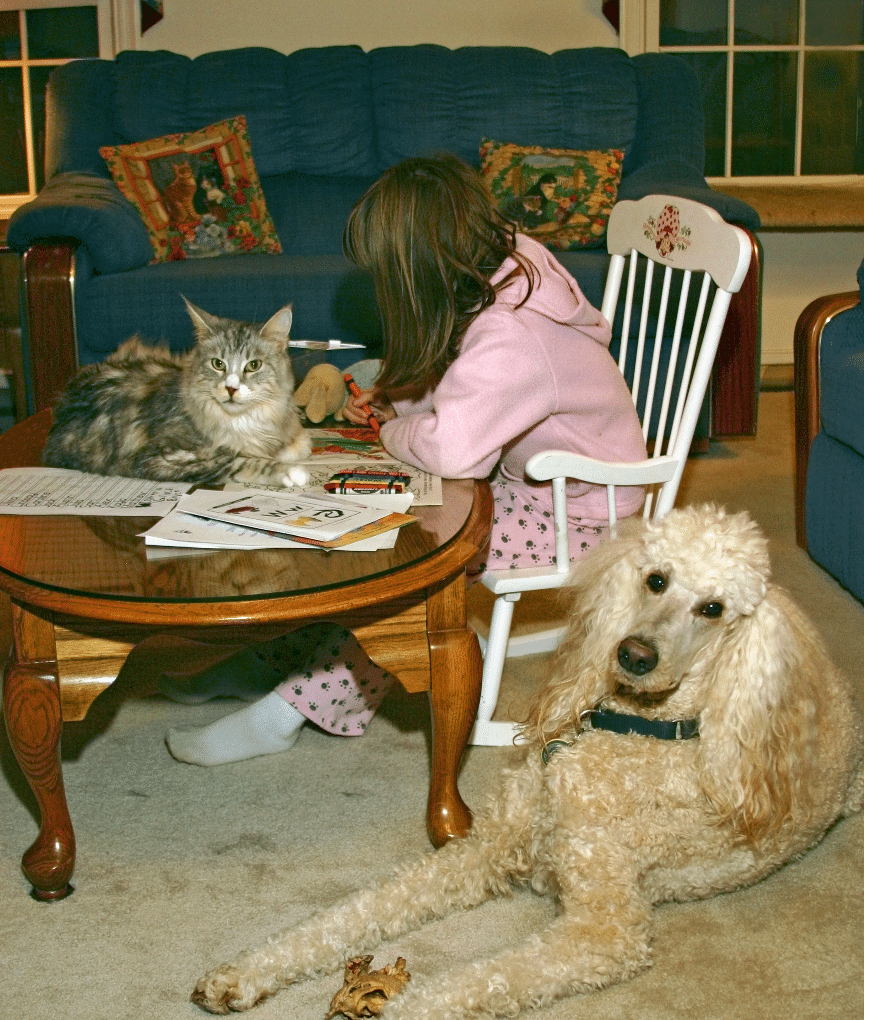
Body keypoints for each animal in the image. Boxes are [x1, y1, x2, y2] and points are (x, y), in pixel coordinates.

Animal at [42, 295, 312, 485]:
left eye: (253, 366)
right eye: (218, 364)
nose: (231, 388)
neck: (242, 422)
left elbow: (299, 444)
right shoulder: (159, 458)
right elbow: (238, 460)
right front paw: (292, 473)